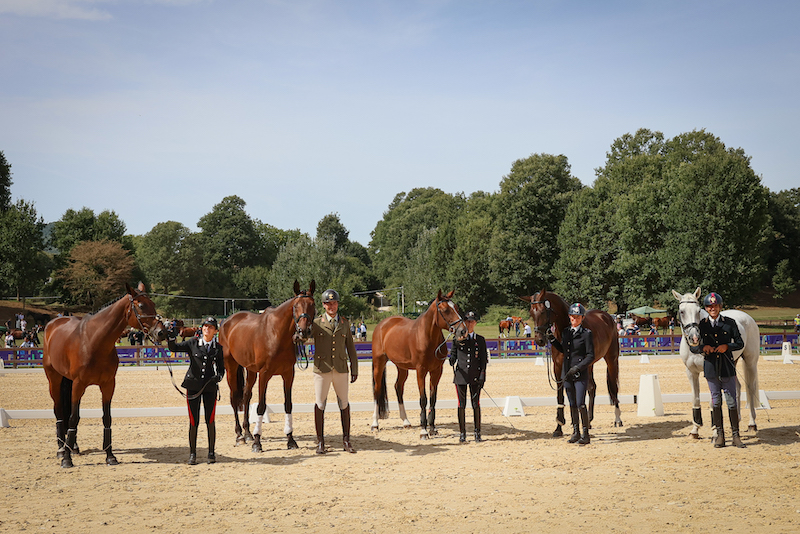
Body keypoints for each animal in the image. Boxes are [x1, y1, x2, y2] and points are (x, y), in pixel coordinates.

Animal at [43, 284, 166, 468]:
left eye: (153, 303)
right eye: (142, 305)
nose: (161, 332)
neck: (94, 341)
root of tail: (53, 323)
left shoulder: (108, 385)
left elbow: (106, 418)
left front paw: (110, 456)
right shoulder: (79, 385)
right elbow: (73, 418)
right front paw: (66, 459)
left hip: (68, 382)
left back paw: (73, 447)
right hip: (55, 380)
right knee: (59, 411)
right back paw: (61, 449)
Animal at [222, 280, 318, 452]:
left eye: (312, 305)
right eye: (295, 306)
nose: (303, 332)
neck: (277, 333)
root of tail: (228, 321)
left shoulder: (288, 374)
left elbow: (288, 405)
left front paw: (290, 440)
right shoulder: (264, 374)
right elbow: (261, 406)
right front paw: (257, 442)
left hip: (251, 370)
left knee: (246, 395)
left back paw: (247, 433)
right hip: (231, 366)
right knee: (234, 398)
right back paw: (240, 435)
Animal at [372, 294, 466, 440]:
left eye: (456, 307)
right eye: (445, 310)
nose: (462, 330)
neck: (427, 337)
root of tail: (383, 324)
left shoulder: (436, 371)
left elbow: (433, 399)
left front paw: (432, 428)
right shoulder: (421, 371)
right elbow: (423, 399)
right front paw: (423, 431)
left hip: (402, 367)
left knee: (398, 387)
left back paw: (406, 422)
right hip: (379, 363)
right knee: (377, 391)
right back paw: (375, 424)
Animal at [520, 292, 620, 438]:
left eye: (543, 311)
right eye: (531, 313)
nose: (539, 340)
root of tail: (607, 317)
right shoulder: (558, 366)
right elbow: (561, 395)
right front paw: (559, 427)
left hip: (611, 359)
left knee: (613, 387)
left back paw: (617, 419)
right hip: (589, 365)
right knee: (592, 387)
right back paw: (589, 421)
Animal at [672, 288, 760, 440]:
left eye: (698, 310)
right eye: (682, 311)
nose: (694, 338)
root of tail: (747, 317)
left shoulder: (712, 373)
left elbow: (713, 401)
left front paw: (715, 432)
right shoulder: (691, 372)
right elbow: (695, 399)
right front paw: (694, 431)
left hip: (750, 362)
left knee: (750, 388)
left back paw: (752, 424)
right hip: (731, 364)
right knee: (737, 387)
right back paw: (736, 419)